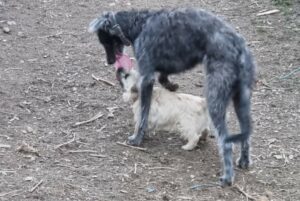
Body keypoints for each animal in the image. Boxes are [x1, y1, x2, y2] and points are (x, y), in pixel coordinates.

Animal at [88, 8, 255, 186]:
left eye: (106, 42)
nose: (110, 62)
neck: (140, 24)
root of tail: (239, 49)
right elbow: (163, 76)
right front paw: (171, 86)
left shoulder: (146, 77)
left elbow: (143, 114)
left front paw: (137, 138)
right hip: (241, 102)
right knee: (246, 134)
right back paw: (244, 161)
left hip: (215, 101)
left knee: (226, 142)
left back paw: (227, 177)